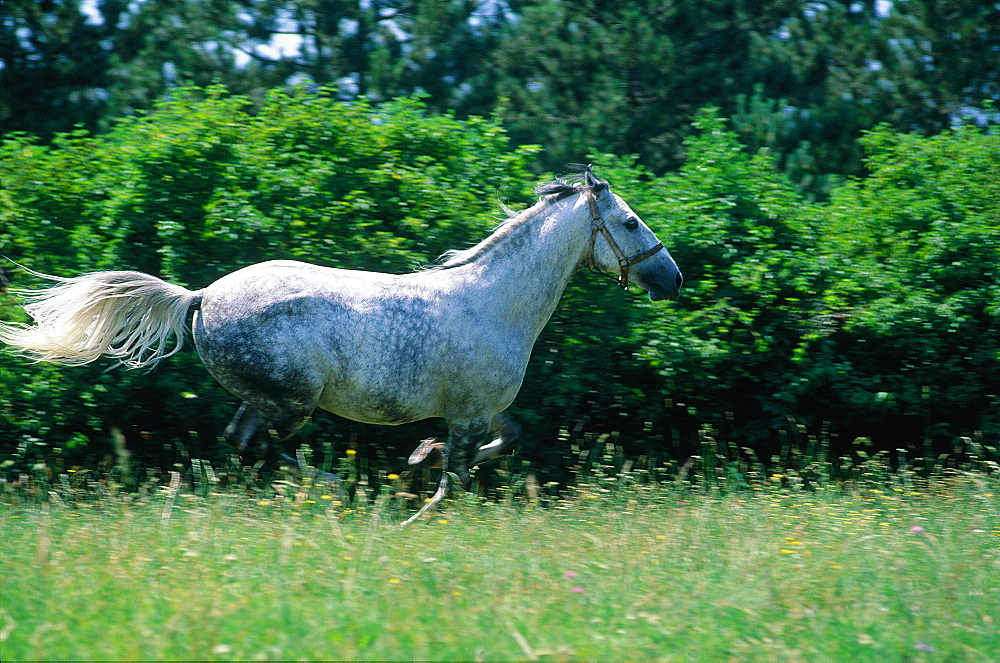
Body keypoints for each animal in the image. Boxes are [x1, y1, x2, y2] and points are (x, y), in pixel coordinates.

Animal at [0, 167, 680, 524]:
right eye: (629, 222)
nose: (670, 278)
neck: (494, 303)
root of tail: (201, 297)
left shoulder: (483, 412)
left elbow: (504, 442)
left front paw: (419, 457)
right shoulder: (467, 413)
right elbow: (456, 479)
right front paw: (416, 495)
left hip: (266, 396)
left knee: (241, 443)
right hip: (293, 398)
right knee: (264, 447)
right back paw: (334, 486)